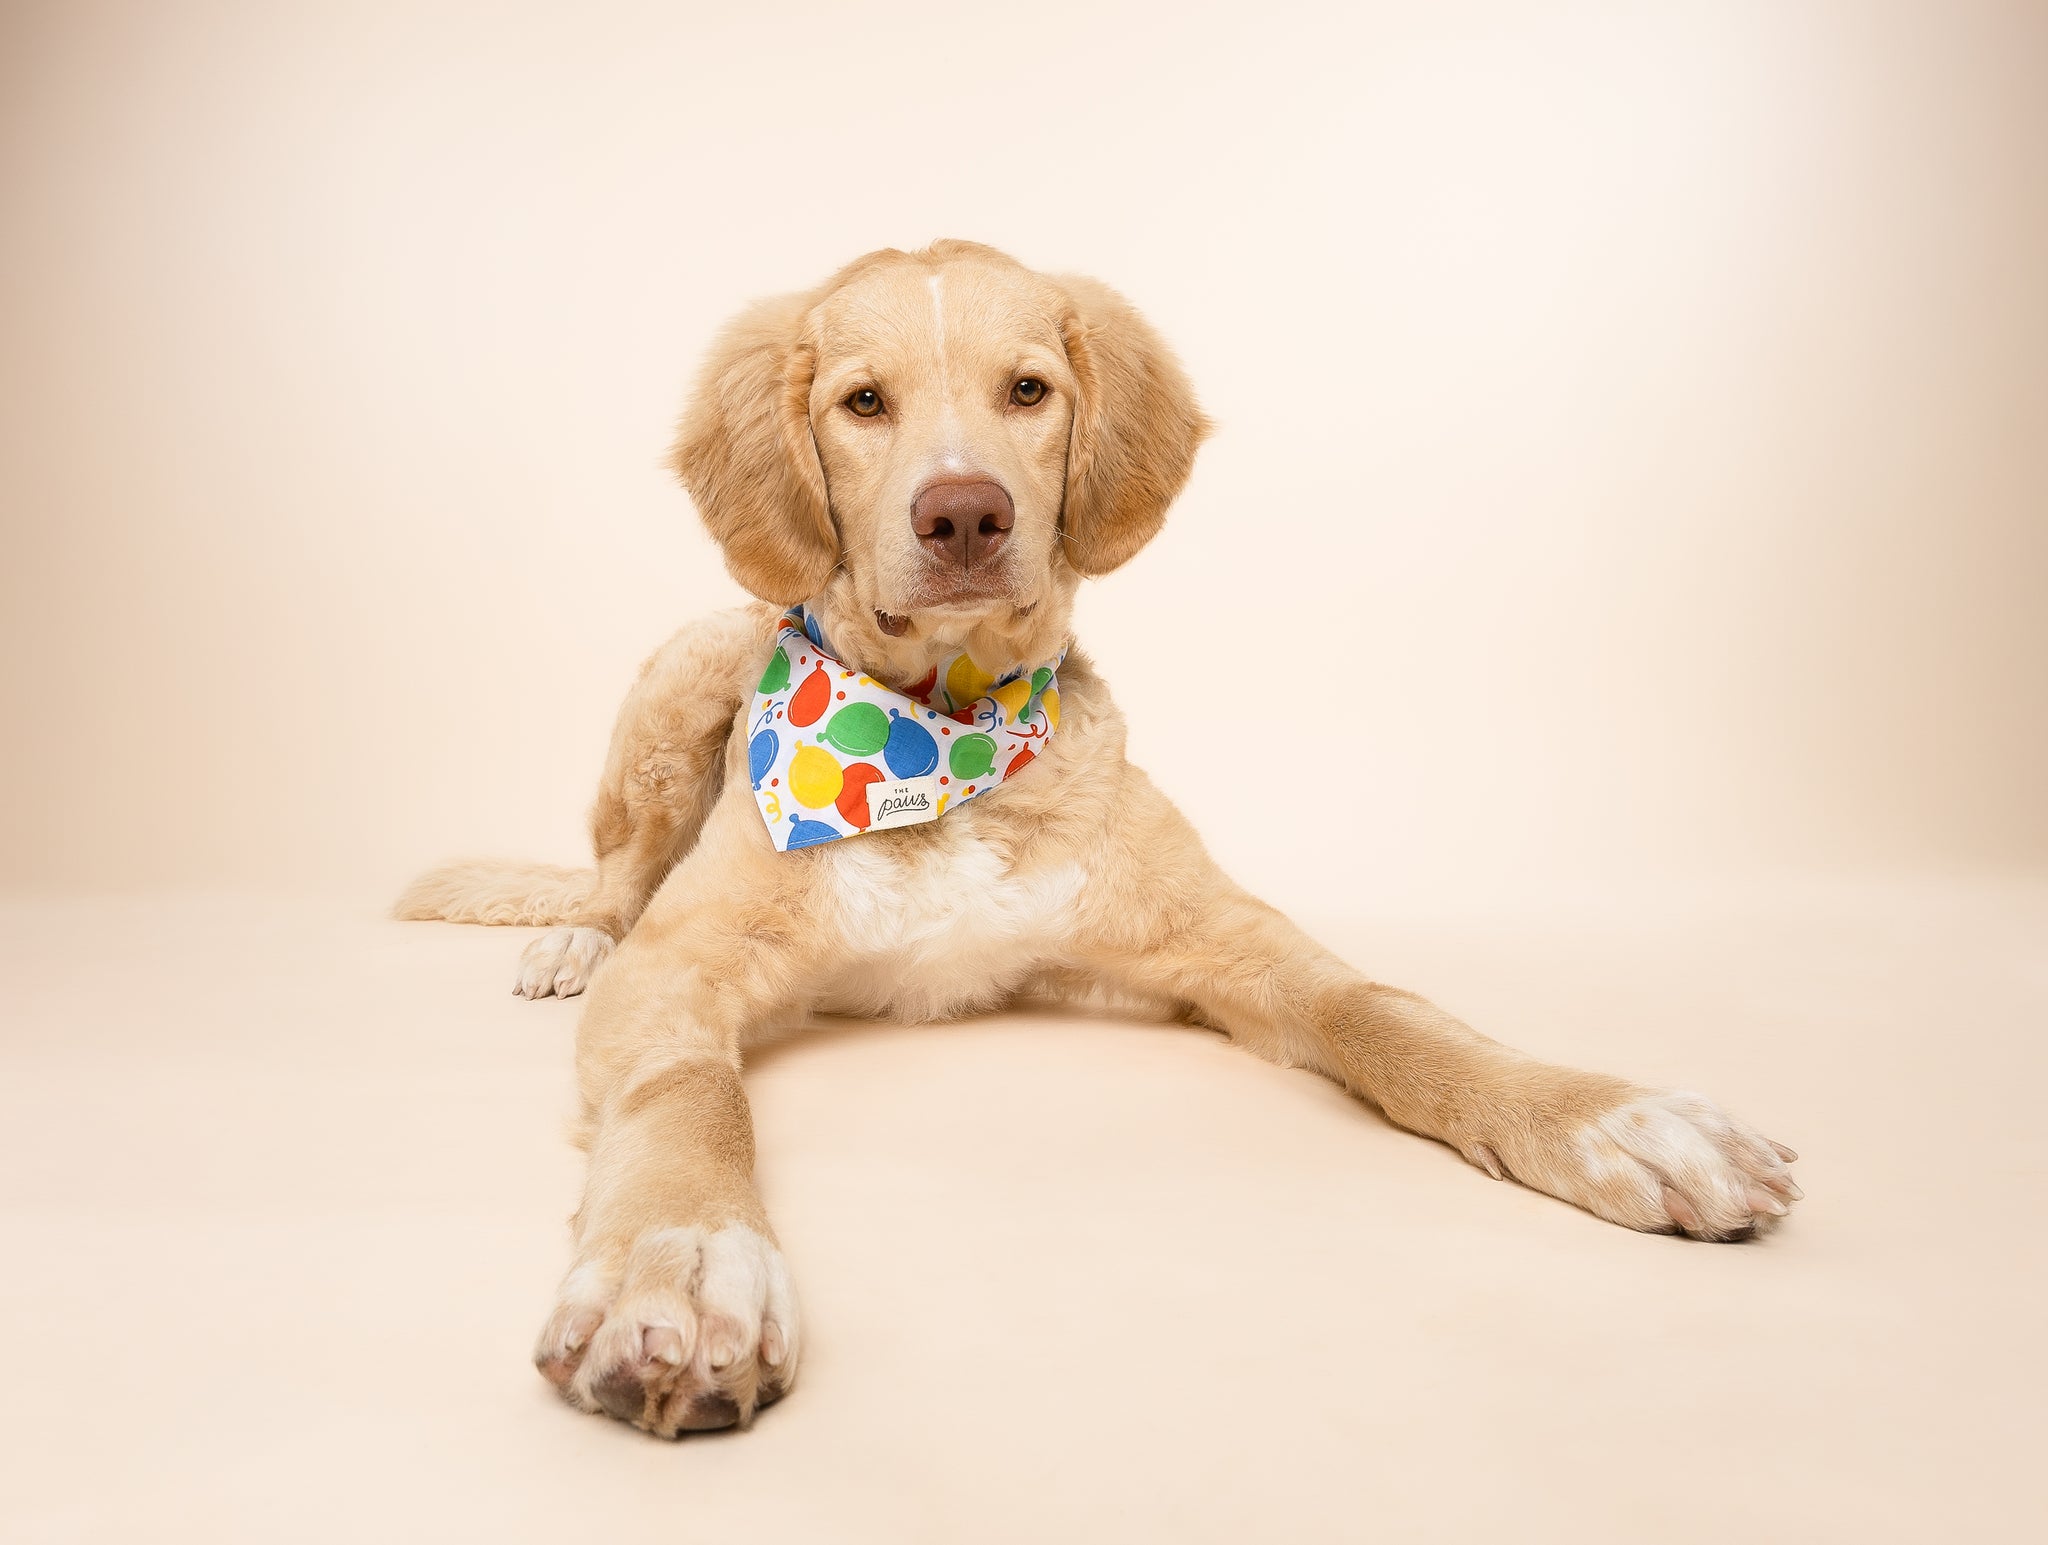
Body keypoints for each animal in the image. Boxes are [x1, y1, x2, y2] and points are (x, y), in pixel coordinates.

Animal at [391, 237, 1802, 1434]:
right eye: (862, 403)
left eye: (1027, 390)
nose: (964, 514)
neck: (943, 743)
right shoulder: (680, 968)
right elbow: (694, 1095)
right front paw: (682, 1268)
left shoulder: (1221, 936)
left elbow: (1385, 1013)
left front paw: (1604, 1119)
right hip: (675, 691)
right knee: (612, 878)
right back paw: (569, 939)